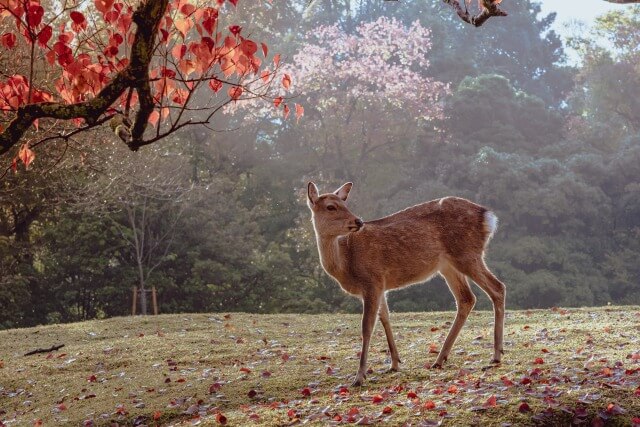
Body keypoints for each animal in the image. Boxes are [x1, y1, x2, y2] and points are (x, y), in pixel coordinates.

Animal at [308, 182, 508, 386]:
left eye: (344, 203)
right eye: (331, 206)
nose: (358, 222)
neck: (345, 264)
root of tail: (489, 217)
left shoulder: (372, 280)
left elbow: (367, 327)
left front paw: (359, 377)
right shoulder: (381, 285)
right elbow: (385, 318)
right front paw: (395, 363)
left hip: (467, 254)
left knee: (497, 287)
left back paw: (496, 355)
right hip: (448, 265)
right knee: (466, 298)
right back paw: (439, 359)